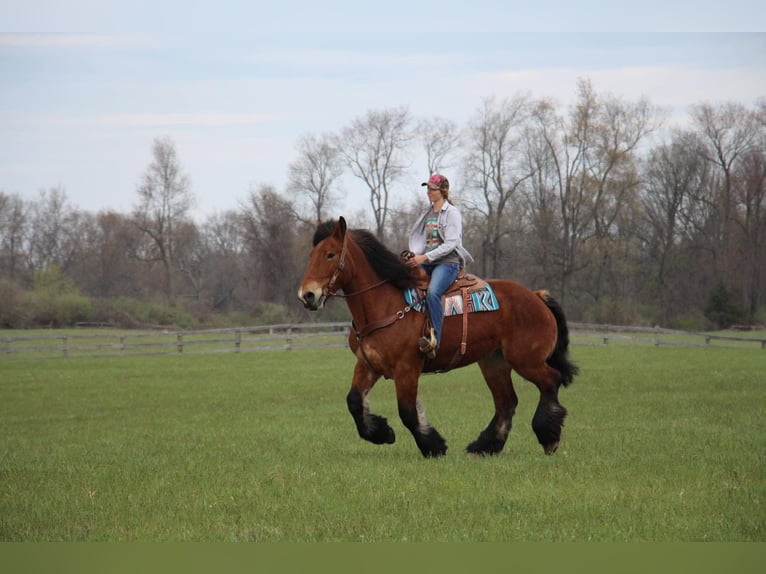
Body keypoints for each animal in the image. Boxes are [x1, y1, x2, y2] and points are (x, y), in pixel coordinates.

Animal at [296, 218, 580, 462]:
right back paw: (485, 446)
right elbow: (354, 401)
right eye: (311, 255)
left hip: (526, 360)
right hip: (494, 362)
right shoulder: (368, 365)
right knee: (506, 402)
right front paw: (382, 433)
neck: (384, 305)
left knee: (550, 382)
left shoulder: (407, 368)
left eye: (330, 254)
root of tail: (536, 296)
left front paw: (433, 446)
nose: (307, 295)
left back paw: (549, 437)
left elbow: (408, 411)